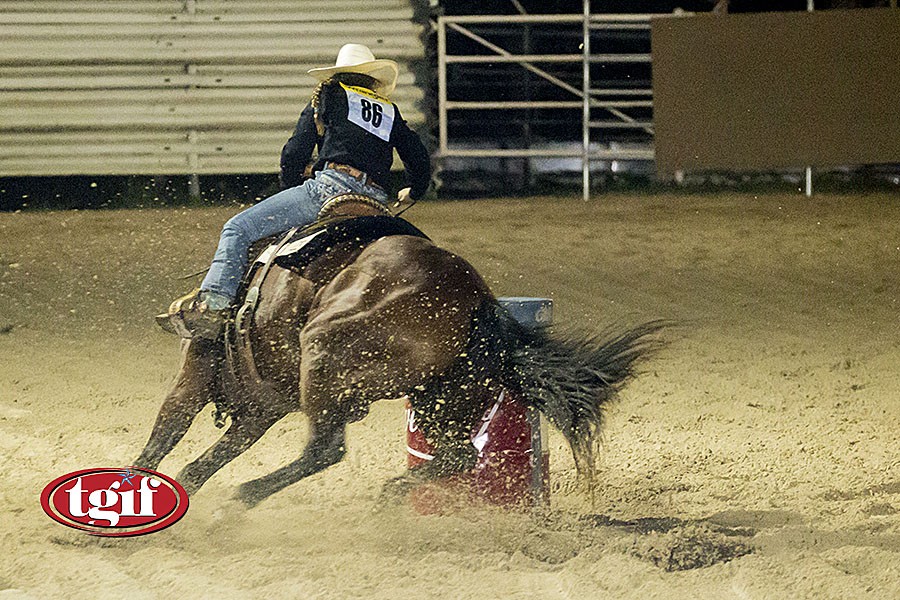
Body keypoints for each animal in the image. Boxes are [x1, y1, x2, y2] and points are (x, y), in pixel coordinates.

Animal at [135, 211, 668, 506]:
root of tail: (476, 298)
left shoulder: (195, 378)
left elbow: (163, 437)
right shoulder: (262, 407)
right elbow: (197, 464)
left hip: (324, 349)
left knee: (326, 449)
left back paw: (243, 498)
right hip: (444, 395)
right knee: (457, 455)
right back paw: (392, 493)